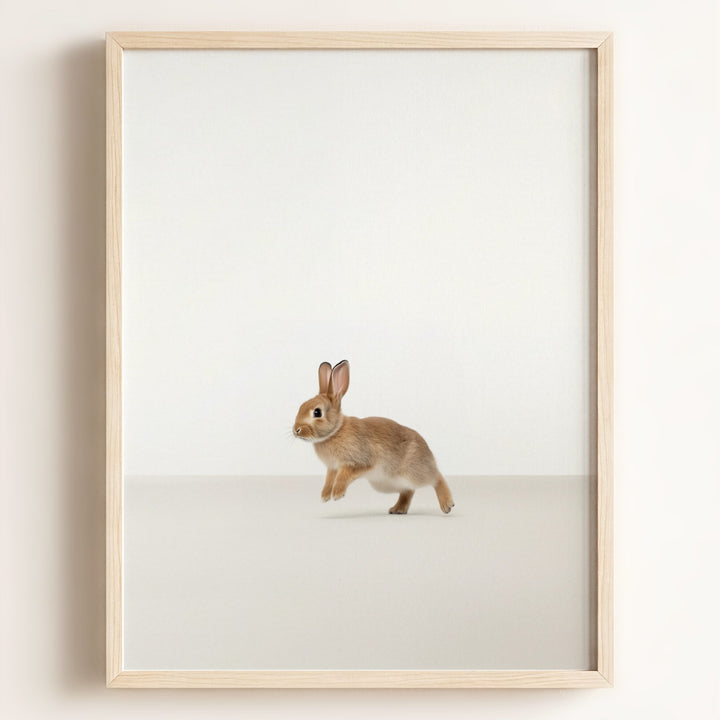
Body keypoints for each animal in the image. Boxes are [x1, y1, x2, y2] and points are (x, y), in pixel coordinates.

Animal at [293, 360, 454, 515]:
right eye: (301, 406)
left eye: (317, 412)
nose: (296, 430)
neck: (335, 431)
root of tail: (428, 451)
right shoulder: (332, 468)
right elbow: (328, 480)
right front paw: (325, 496)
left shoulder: (359, 462)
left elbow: (343, 476)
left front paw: (337, 494)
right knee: (408, 490)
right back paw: (398, 509)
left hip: (414, 472)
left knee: (436, 478)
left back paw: (447, 504)